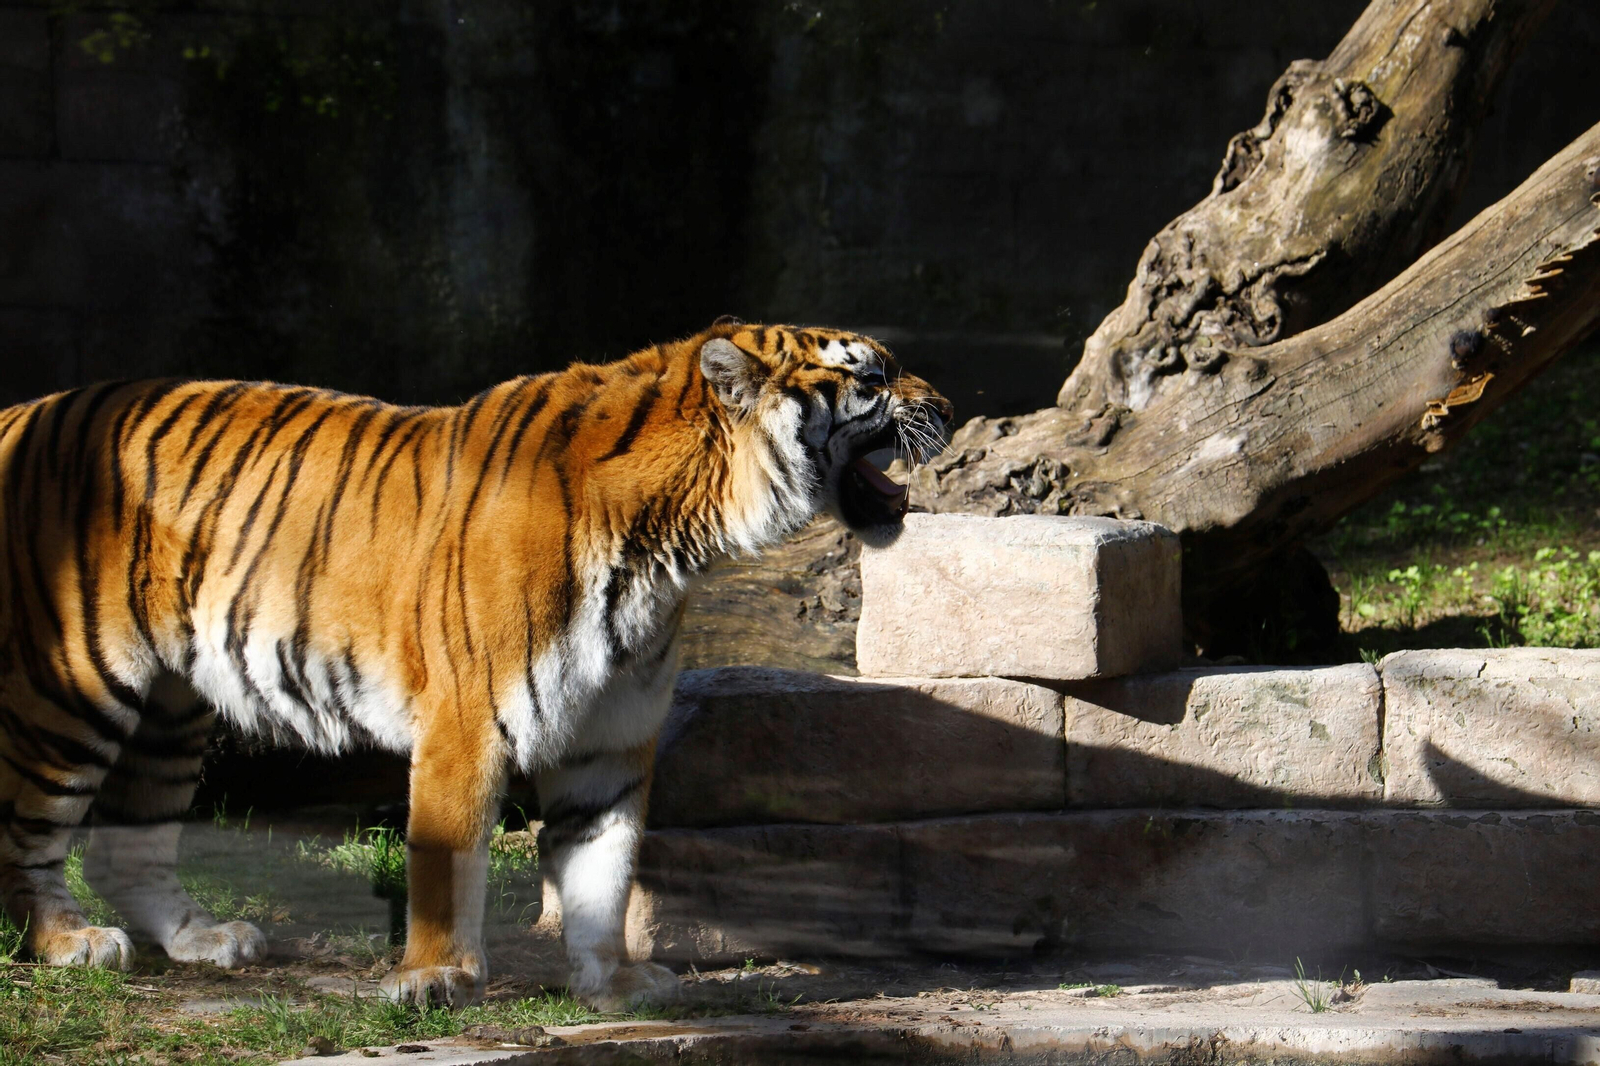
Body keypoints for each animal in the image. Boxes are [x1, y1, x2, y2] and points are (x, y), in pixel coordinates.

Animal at [0, 319, 952, 1009]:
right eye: (872, 377)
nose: (947, 401)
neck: (673, 540)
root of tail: (22, 409)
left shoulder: (610, 737)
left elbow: (605, 868)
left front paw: (615, 981)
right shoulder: (466, 721)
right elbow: (446, 859)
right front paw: (436, 977)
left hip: (170, 705)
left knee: (127, 846)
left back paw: (204, 938)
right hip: (72, 685)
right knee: (28, 832)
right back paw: (70, 943)